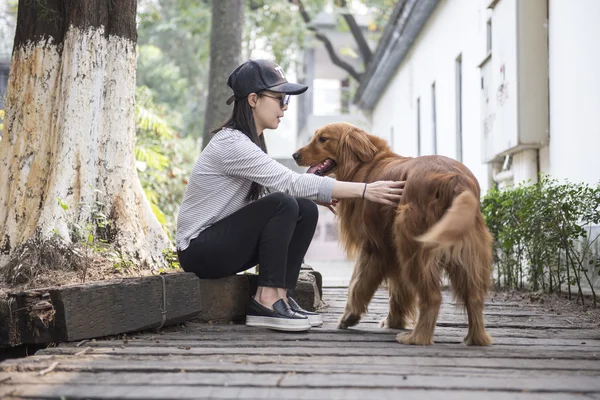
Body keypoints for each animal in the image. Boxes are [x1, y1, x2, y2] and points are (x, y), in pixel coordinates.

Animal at [292, 122, 494, 346]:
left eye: (323, 139)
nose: (294, 155)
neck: (364, 164)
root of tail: (454, 179)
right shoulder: (392, 250)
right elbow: (398, 290)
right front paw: (394, 321)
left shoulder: (374, 247)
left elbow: (358, 283)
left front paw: (350, 316)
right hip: (465, 253)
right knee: (474, 297)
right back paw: (476, 337)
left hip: (413, 247)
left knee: (432, 297)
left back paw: (418, 337)